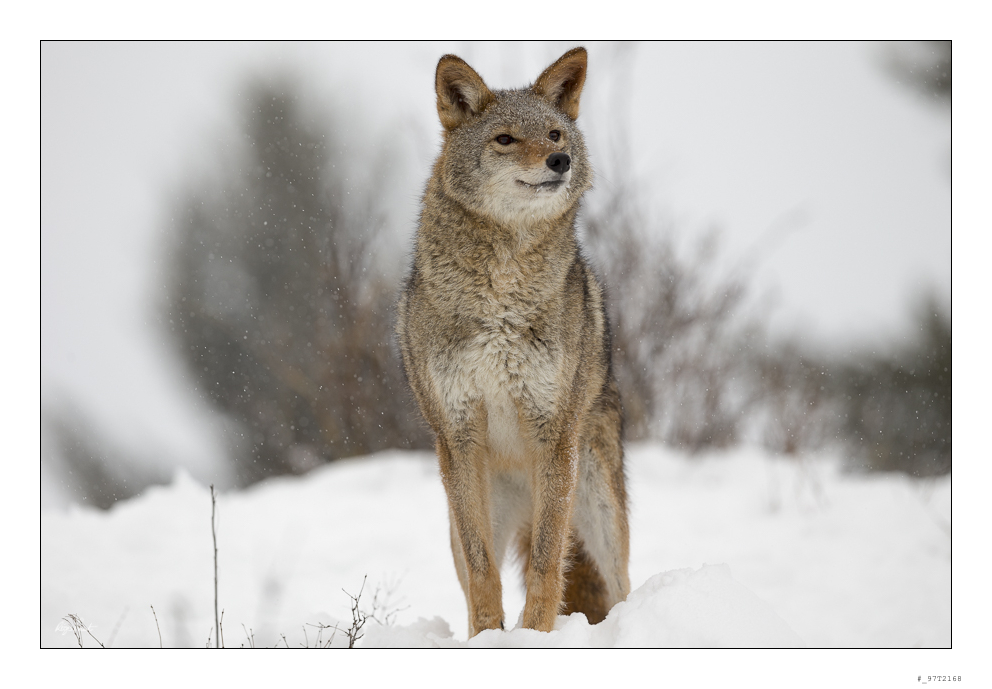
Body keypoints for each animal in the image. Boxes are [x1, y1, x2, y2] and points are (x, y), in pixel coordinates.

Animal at [395, 47, 630, 637]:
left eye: (554, 134)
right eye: (505, 139)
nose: (560, 161)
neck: (501, 294)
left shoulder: (553, 433)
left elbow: (547, 563)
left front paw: (534, 636)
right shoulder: (457, 436)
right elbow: (484, 572)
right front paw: (489, 638)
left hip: (595, 505)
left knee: (619, 586)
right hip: (470, 510)